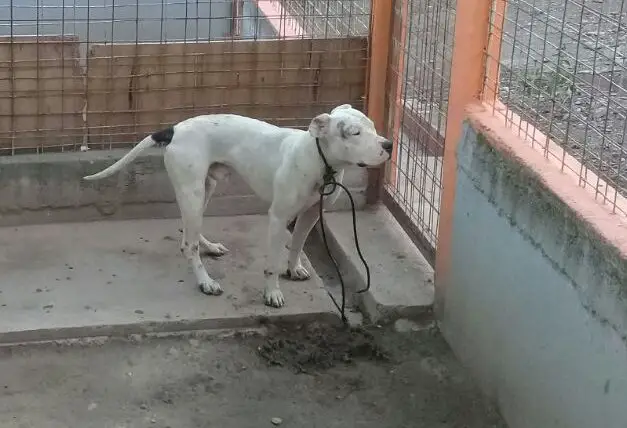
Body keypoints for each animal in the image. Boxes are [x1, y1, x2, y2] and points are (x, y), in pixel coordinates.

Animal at [83, 104, 392, 308]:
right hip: (193, 192)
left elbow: (297, 244)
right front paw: (272, 293)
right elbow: (271, 264)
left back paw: (209, 247)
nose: (388, 144)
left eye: (373, 126)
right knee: (187, 245)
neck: (318, 159)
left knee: (188, 233)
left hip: (204, 190)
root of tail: (175, 129)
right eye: (354, 133)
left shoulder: (309, 215)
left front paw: (294, 269)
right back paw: (205, 282)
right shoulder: (277, 218)